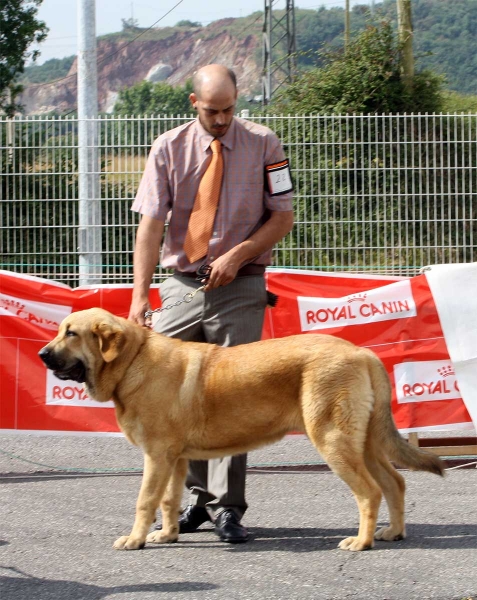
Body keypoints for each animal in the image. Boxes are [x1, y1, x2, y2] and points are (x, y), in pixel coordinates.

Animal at [39, 308, 444, 552]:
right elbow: (168, 501)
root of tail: (363, 353)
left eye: (71, 333)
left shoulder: (156, 455)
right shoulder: (174, 458)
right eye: (61, 331)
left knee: (369, 492)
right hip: (365, 442)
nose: (43, 355)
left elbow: (145, 500)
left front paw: (135, 539)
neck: (131, 362)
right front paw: (168, 535)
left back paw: (361, 542)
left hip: (334, 440)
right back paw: (392, 532)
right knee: (395, 482)